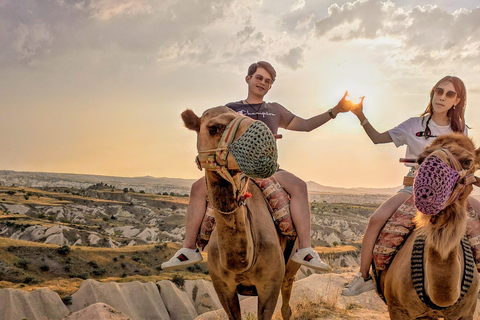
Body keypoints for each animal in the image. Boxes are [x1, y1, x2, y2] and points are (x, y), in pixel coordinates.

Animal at [181, 106, 298, 318]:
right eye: (213, 128)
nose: (265, 142)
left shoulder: (270, 285)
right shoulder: (222, 286)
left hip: (290, 271)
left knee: (287, 305)